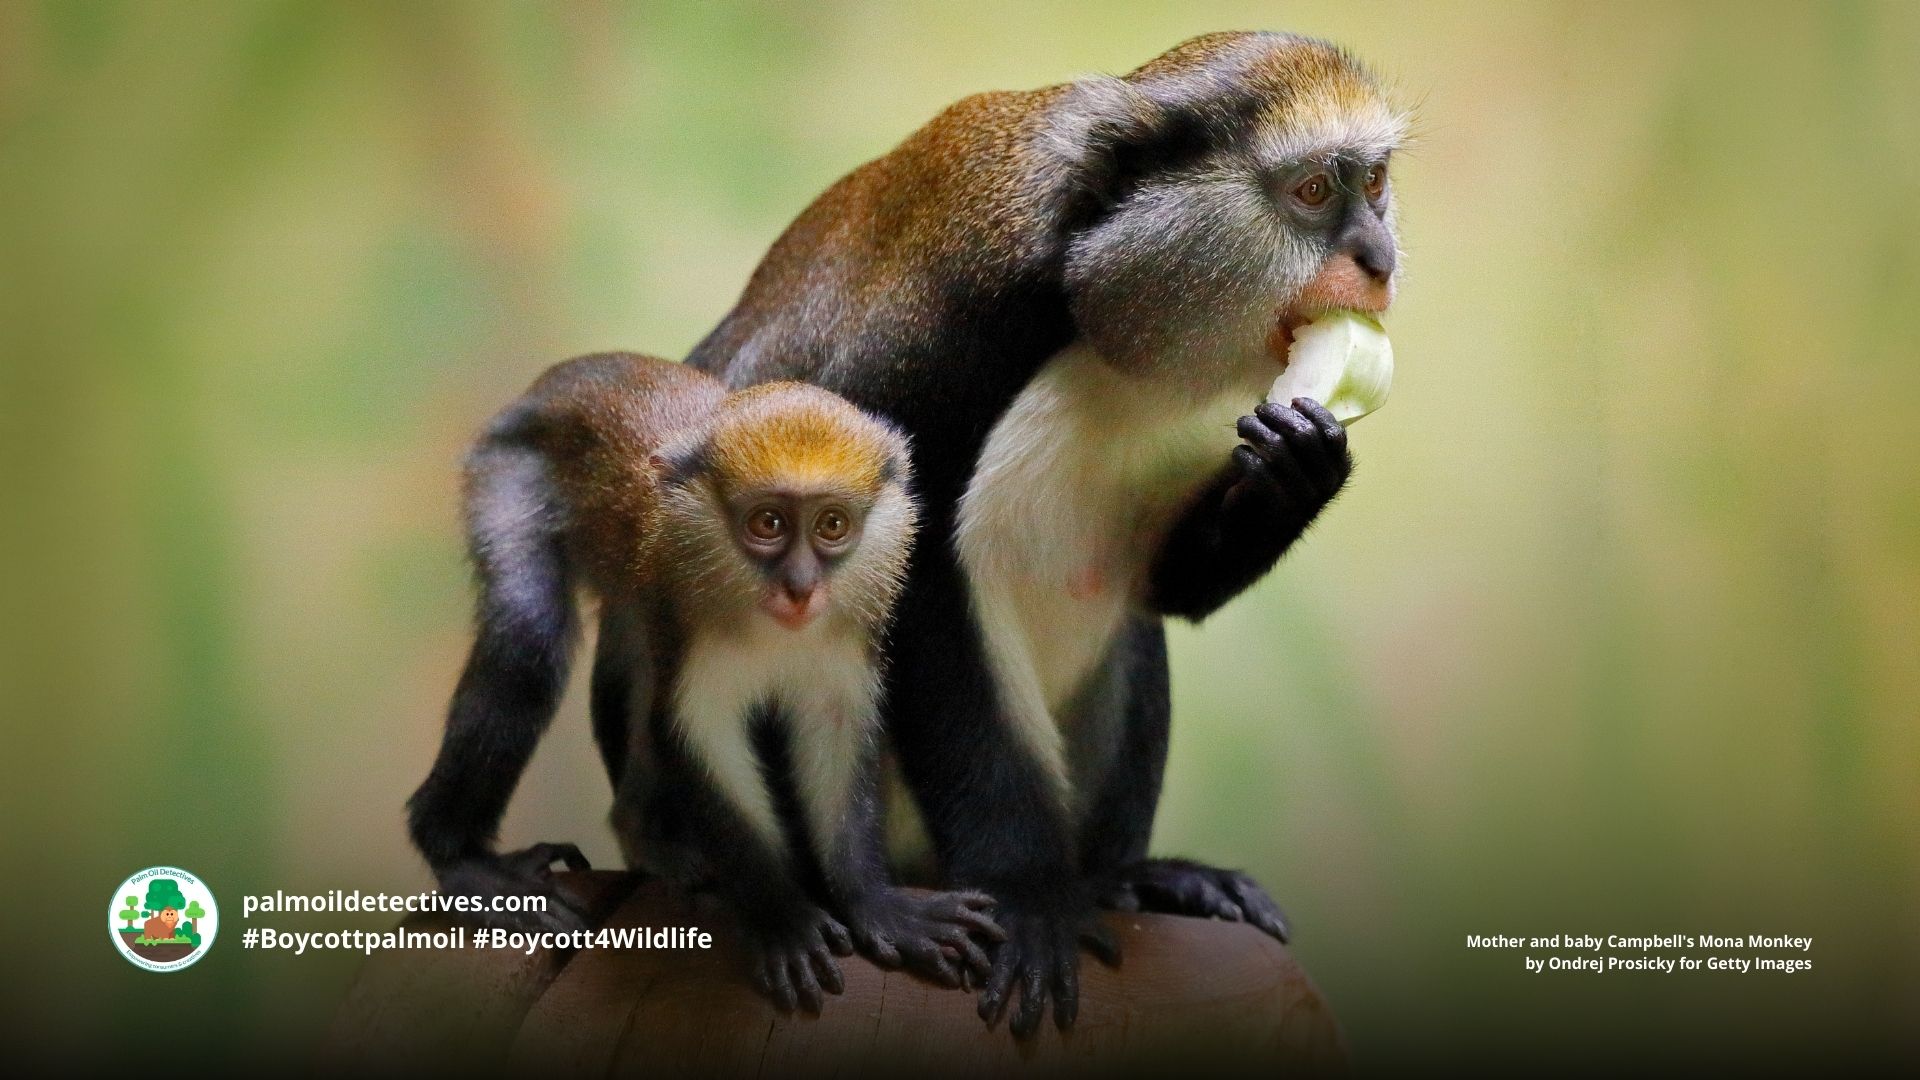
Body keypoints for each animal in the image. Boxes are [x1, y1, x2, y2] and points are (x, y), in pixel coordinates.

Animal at [406, 352, 1002, 1012]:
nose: (800, 588)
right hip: (507, 474)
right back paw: (462, 859)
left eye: (832, 525)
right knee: (526, 637)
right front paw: (782, 920)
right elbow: (700, 739)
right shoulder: (690, 634)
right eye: (768, 523)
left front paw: (877, 904)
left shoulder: (842, 650)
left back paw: (644, 831)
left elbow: (836, 736)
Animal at [681, 32, 1405, 1035]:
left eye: (1373, 182)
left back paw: (1130, 880)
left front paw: (1301, 469)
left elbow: (1169, 588)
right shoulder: (933, 339)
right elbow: (909, 593)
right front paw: (1027, 897)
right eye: (1310, 192)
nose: (1380, 258)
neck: (1088, 290)